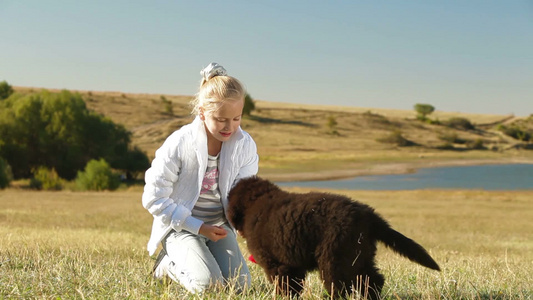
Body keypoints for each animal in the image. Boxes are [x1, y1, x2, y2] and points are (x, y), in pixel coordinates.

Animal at [227, 176, 438, 298]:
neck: (257, 202)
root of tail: (369, 215)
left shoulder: (276, 263)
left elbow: (285, 285)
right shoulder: (293, 263)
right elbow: (294, 285)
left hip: (335, 256)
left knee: (341, 285)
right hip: (359, 254)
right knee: (373, 280)